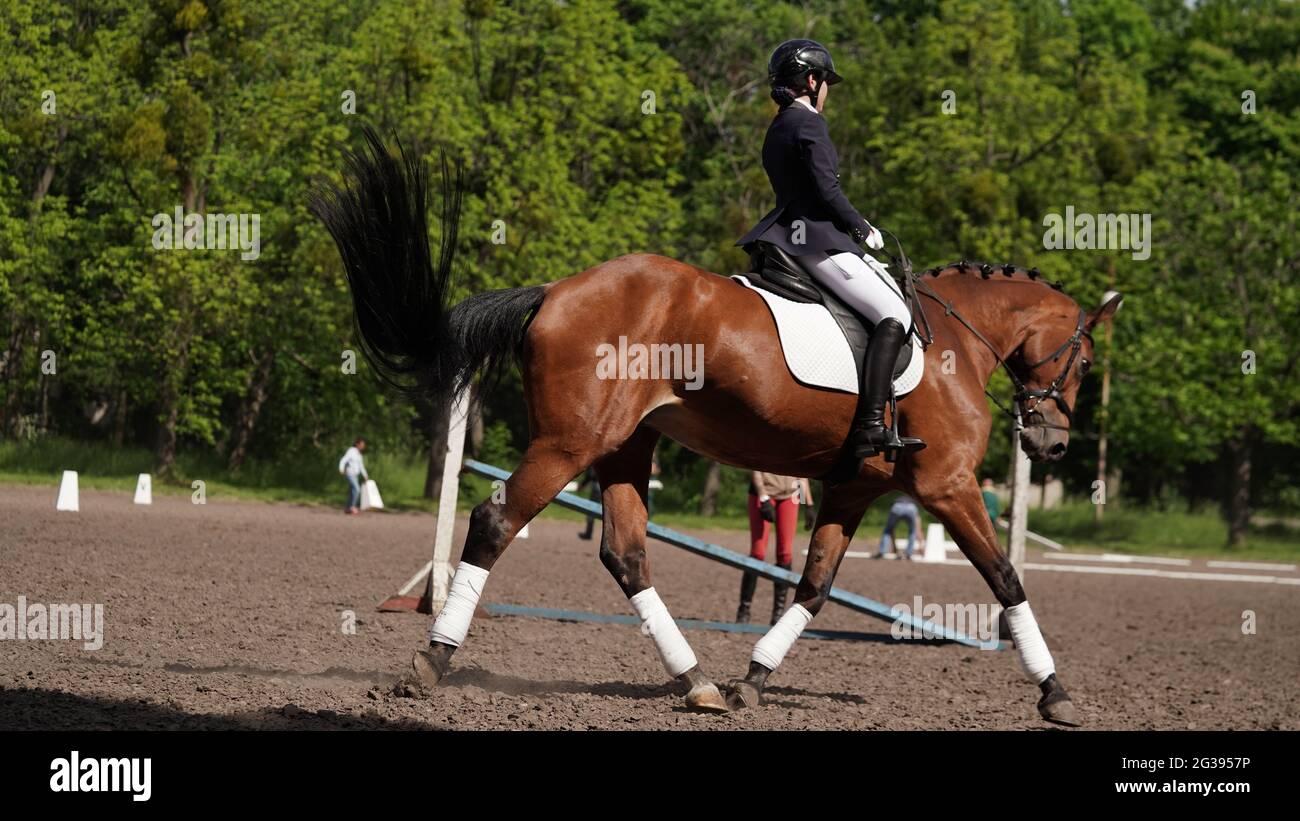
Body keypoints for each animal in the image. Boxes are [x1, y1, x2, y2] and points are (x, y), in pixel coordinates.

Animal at [309, 128, 1119, 726]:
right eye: (1083, 363)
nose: (1050, 444)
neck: (955, 342)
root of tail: (554, 291)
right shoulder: (949, 485)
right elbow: (1007, 578)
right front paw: (1057, 694)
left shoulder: (854, 487)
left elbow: (812, 587)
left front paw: (752, 680)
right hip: (570, 444)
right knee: (496, 520)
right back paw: (431, 662)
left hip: (625, 446)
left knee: (626, 554)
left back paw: (697, 682)